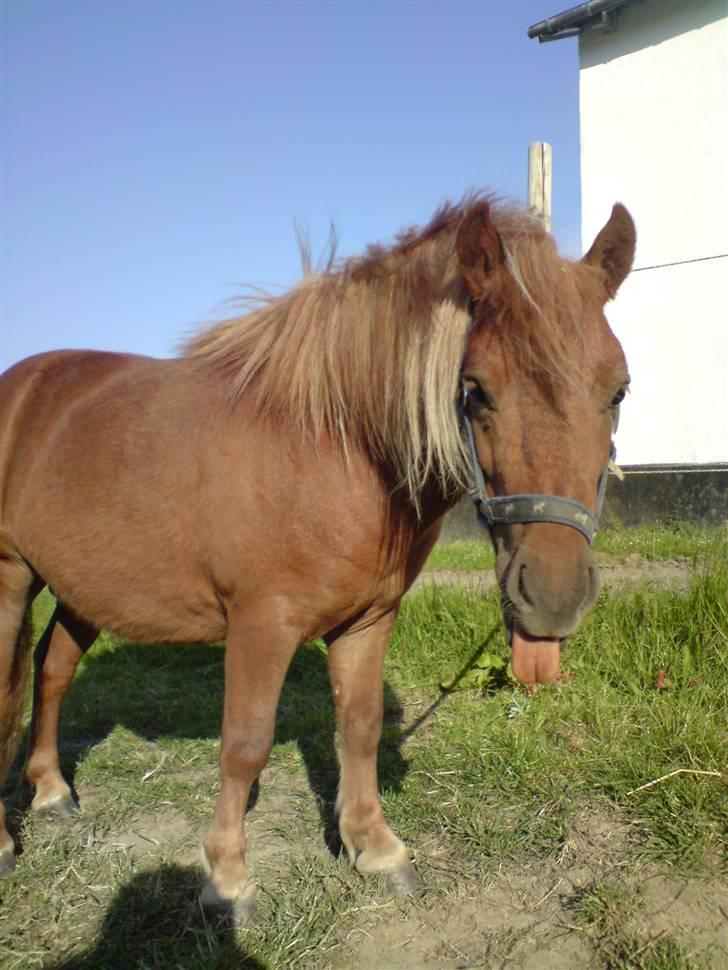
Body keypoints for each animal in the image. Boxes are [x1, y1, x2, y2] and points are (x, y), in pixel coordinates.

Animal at [0, 197, 636, 924]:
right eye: (475, 389)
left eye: (618, 390)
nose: (554, 596)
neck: (336, 447)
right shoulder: (261, 623)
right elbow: (245, 745)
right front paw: (228, 880)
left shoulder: (368, 620)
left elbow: (358, 727)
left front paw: (374, 848)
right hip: (12, 577)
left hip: (85, 588)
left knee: (52, 671)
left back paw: (51, 791)